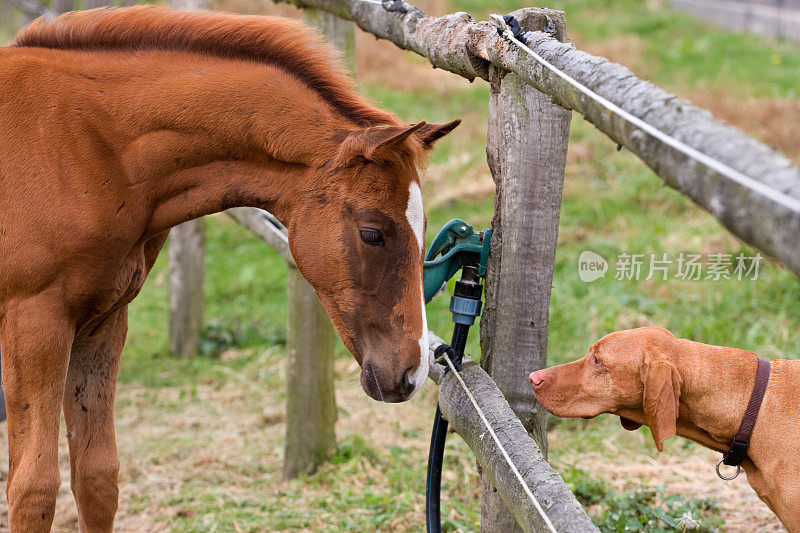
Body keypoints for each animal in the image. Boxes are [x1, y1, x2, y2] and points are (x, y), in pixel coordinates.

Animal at [0, 7, 460, 528]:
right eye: (372, 233)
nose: (411, 373)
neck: (84, 147)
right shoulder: (34, 322)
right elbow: (33, 491)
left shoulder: (103, 320)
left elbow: (97, 479)